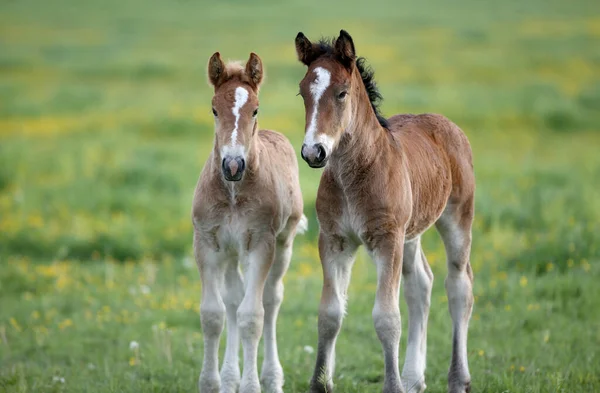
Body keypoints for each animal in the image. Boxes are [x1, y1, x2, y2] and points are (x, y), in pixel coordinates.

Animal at [192, 52, 304, 392]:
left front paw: (252, 385)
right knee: (233, 300)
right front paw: (212, 382)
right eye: (214, 109)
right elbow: (212, 314)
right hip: (230, 251)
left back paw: (271, 378)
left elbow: (252, 317)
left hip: (283, 243)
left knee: (270, 299)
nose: (232, 165)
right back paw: (231, 378)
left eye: (255, 109)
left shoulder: (261, 244)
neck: (232, 194)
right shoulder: (207, 244)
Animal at [296, 31, 474, 392]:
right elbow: (329, 314)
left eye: (342, 93)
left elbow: (387, 317)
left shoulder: (387, 239)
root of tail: (446, 123)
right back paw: (414, 379)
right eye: (303, 91)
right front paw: (320, 383)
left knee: (459, 286)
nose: (313, 151)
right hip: (411, 232)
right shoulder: (335, 240)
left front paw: (392, 385)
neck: (355, 174)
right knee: (421, 285)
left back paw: (457, 379)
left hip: (457, 218)